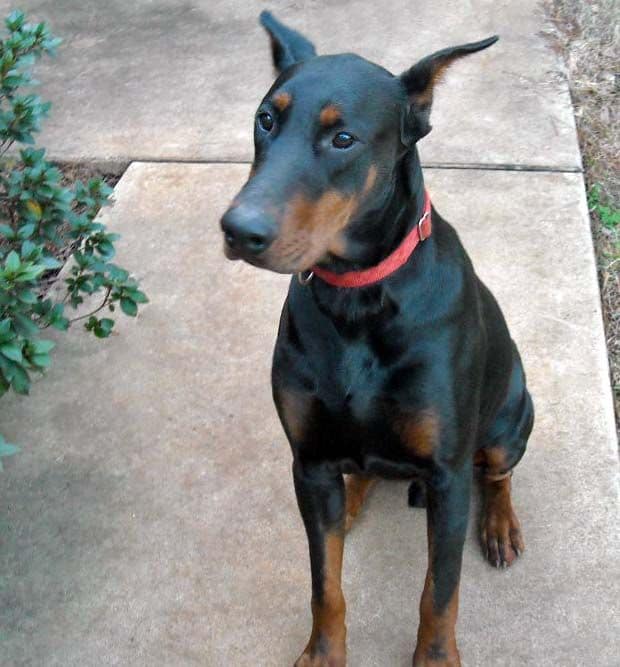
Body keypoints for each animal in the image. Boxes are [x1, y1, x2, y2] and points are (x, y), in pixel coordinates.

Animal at [219, 11, 532, 667]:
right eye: (266, 119)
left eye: (343, 139)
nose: (238, 230)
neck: (357, 299)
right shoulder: (309, 462)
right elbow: (324, 583)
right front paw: (322, 654)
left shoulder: (447, 476)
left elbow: (439, 592)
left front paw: (435, 659)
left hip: (511, 416)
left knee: (497, 473)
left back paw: (498, 524)